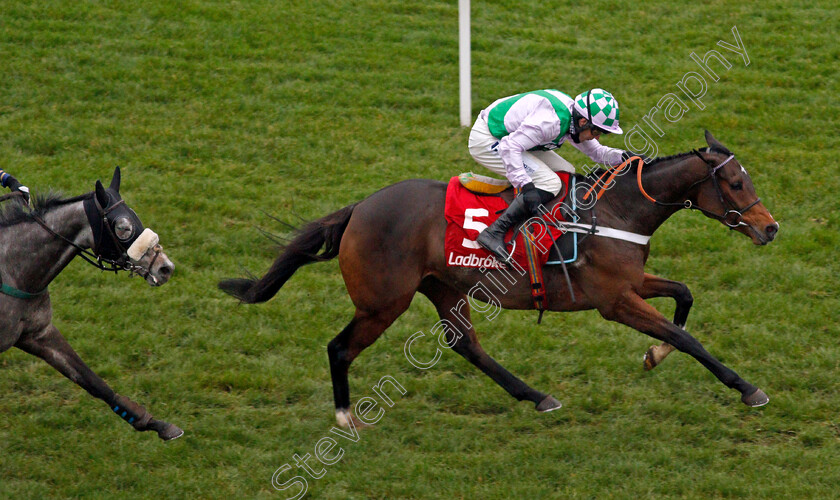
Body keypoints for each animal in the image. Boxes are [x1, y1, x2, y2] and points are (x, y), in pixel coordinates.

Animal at [0, 169, 183, 442]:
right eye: (123, 228)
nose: (165, 268)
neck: (13, 272)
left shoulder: (38, 333)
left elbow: (92, 381)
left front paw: (156, 423)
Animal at [220, 131, 776, 428]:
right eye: (734, 182)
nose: (770, 228)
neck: (616, 210)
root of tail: (359, 208)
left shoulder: (630, 284)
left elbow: (685, 296)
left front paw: (653, 355)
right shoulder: (614, 300)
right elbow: (688, 337)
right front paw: (747, 388)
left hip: (446, 288)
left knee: (467, 346)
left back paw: (536, 396)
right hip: (383, 301)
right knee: (340, 348)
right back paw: (344, 416)